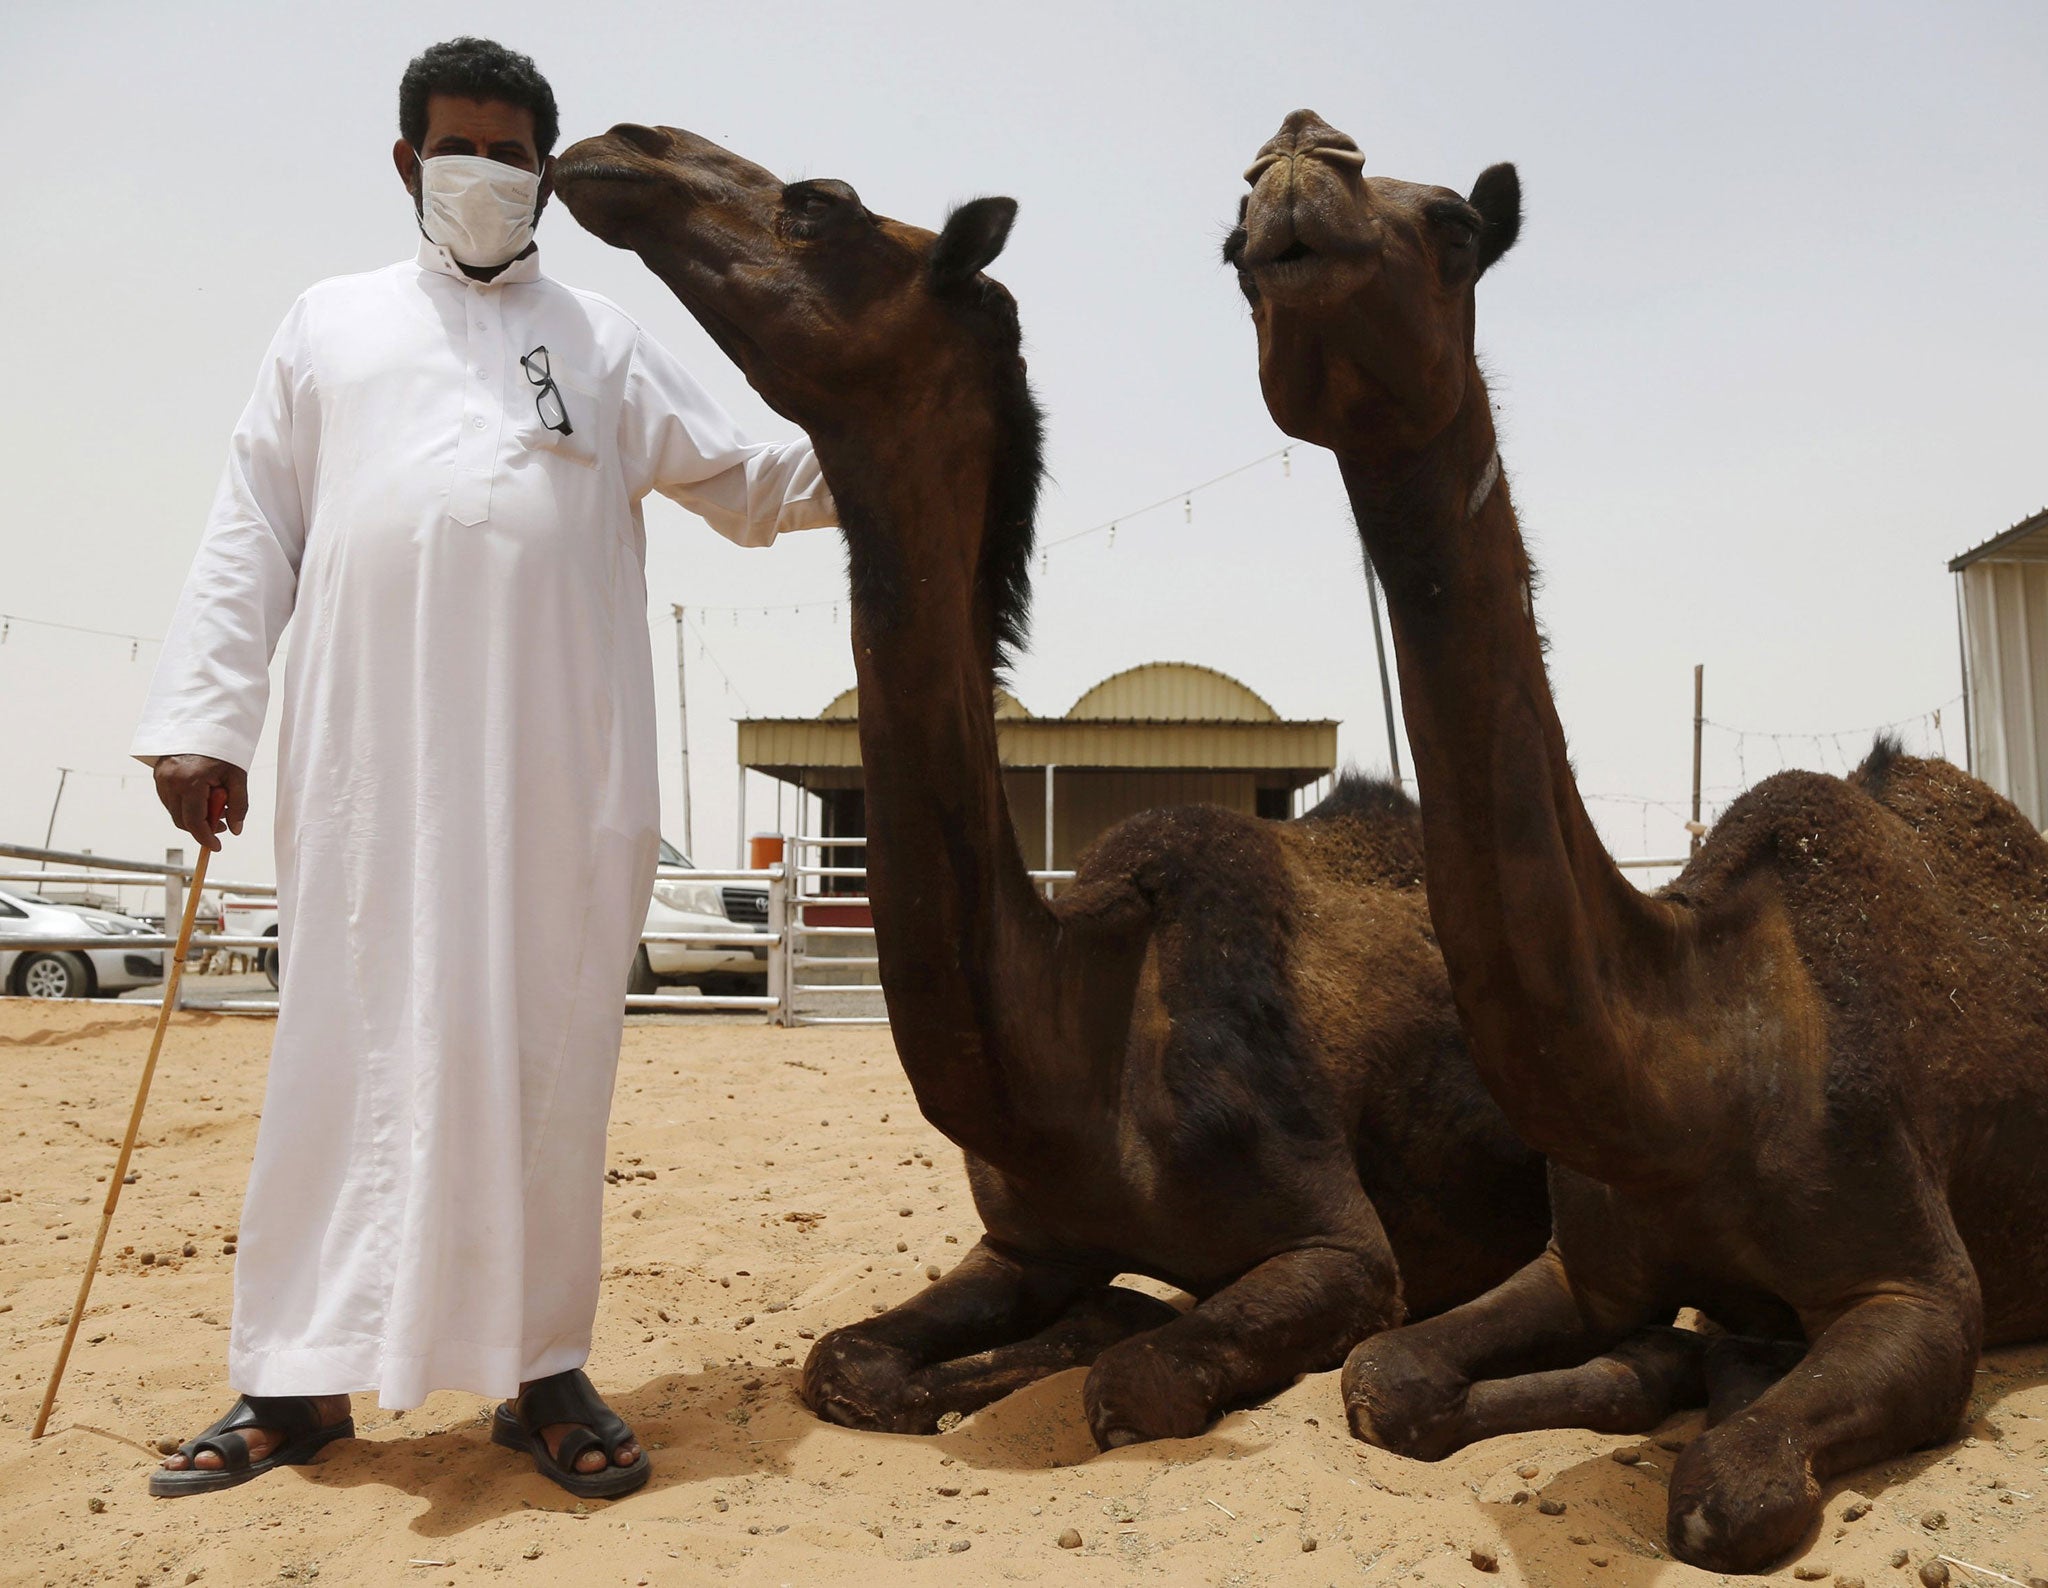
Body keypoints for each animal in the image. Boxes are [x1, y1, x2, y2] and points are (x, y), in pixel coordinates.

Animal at [552, 123, 1540, 1450]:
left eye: (819, 206)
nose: (621, 148)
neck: (1078, 1038)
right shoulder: (1018, 1239)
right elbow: (843, 1360)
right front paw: (1069, 1325)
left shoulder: (1341, 1246)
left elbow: (1136, 1379)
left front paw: (1107, 1333)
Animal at [1220, 111, 2048, 1573]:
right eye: (1226, 242)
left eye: (1453, 223)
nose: (1296, 156)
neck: (1704, 1072)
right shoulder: (1584, 1256)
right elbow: (1384, 1376)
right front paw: (1665, 1362)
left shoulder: (1920, 1286)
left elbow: (1728, 1491)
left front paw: (1716, 1383)